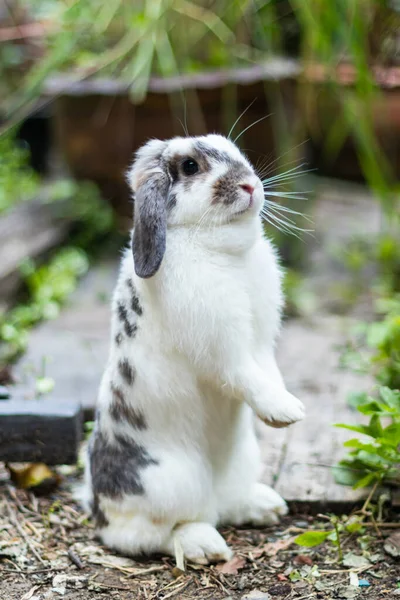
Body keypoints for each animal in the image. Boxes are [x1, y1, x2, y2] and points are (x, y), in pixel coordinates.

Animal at [82, 134, 306, 564]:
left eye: (234, 150)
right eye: (189, 166)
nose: (250, 185)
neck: (219, 248)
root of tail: (100, 509)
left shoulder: (262, 344)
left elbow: (268, 372)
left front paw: (284, 406)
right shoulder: (224, 348)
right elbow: (246, 377)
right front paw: (287, 413)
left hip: (242, 460)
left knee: (226, 505)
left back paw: (265, 506)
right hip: (169, 484)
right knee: (144, 536)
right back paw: (203, 545)